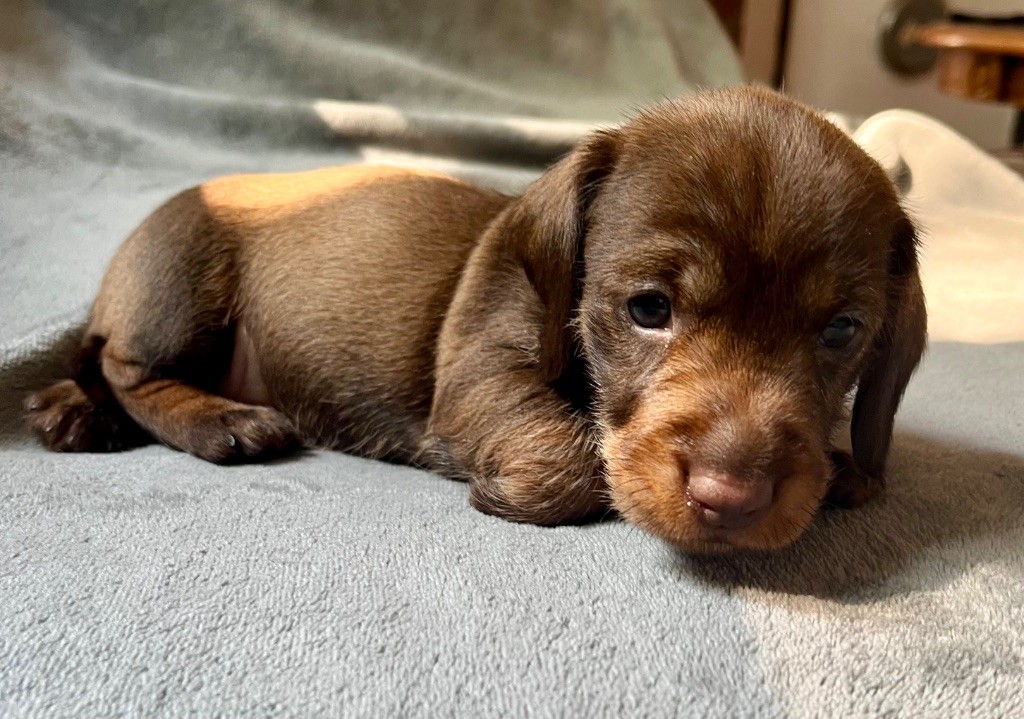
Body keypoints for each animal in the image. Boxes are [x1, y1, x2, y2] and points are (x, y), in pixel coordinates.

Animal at [25, 87, 927, 553]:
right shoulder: (480, 372)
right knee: (125, 364)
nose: (732, 500)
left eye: (842, 331)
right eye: (648, 309)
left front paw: (845, 464)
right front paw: (524, 486)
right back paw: (216, 419)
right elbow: (567, 450)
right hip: (182, 285)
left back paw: (74, 413)